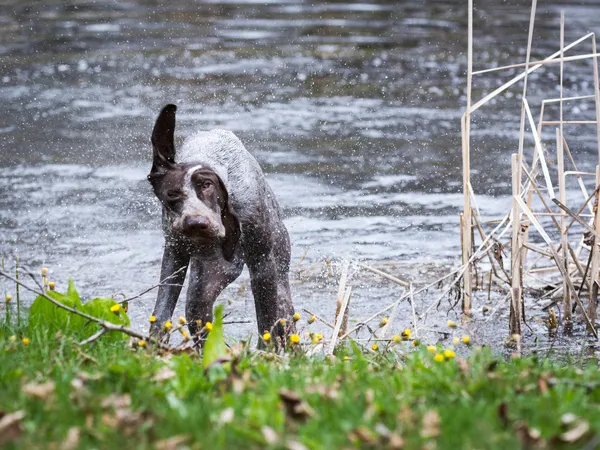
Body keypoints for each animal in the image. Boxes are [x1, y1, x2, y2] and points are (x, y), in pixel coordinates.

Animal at [146, 103, 294, 342]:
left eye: (207, 185)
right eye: (172, 194)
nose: (196, 223)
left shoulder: (263, 265)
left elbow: (267, 321)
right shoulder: (175, 252)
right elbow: (161, 311)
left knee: (284, 313)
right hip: (204, 287)